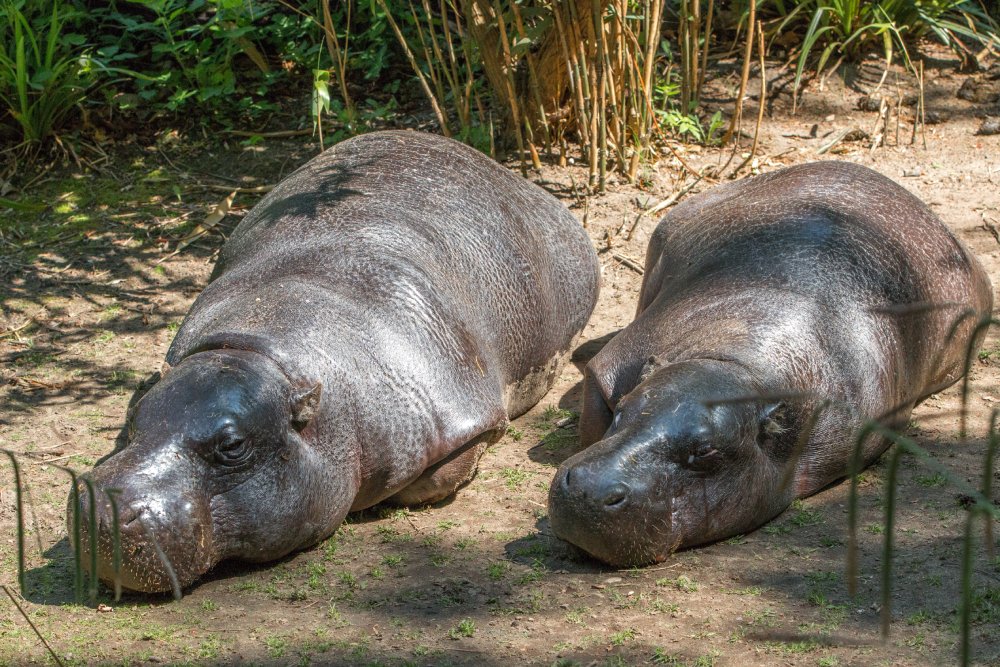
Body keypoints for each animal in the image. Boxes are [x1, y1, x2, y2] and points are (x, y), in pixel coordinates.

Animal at [71, 130, 600, 593]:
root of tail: (515, 179)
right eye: (134, 416)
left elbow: (441, 474)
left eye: (233, 446)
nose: (105, 509)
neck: (261, 351)